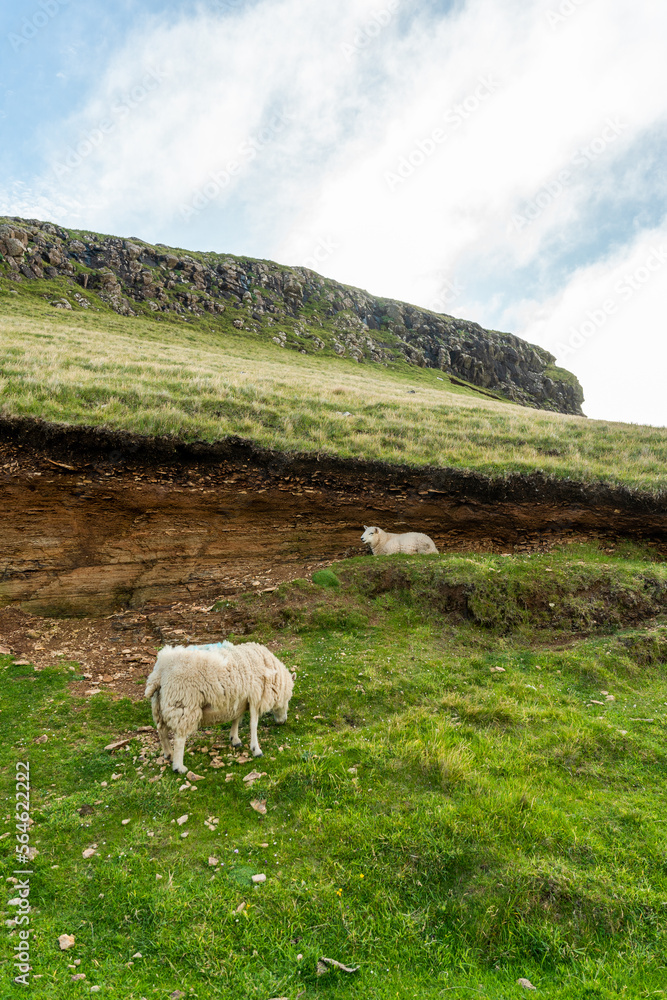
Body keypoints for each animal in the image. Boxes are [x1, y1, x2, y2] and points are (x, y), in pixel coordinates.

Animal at [144, 642, 295, 773]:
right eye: (288, 699)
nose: (283, 721)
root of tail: (160, 670)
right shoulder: (255, 697)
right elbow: (253, 724)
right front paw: (256, 750)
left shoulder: (240, 699)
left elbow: (236, 719)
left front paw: (235, 739)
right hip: (183, 704)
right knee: (179, 738)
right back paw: (179, 767)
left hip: (159, 705)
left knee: (162, 731)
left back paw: (168, 754)